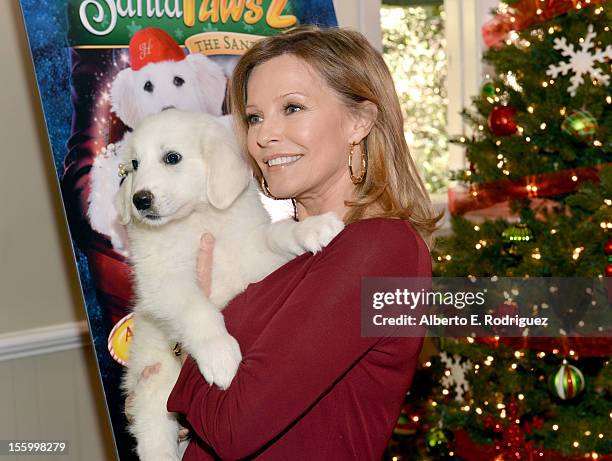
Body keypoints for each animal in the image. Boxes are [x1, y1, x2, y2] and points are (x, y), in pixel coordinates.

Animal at [117, 109, 342, 458]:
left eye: (172, 158)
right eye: (135, 164)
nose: (139, 200)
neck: (196, 221)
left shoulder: (252, 253)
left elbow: (276, 233)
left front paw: (311, 228)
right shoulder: (164, 281)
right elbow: (198, 309)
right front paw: (219, 353)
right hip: (154, 388)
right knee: (155, 441)